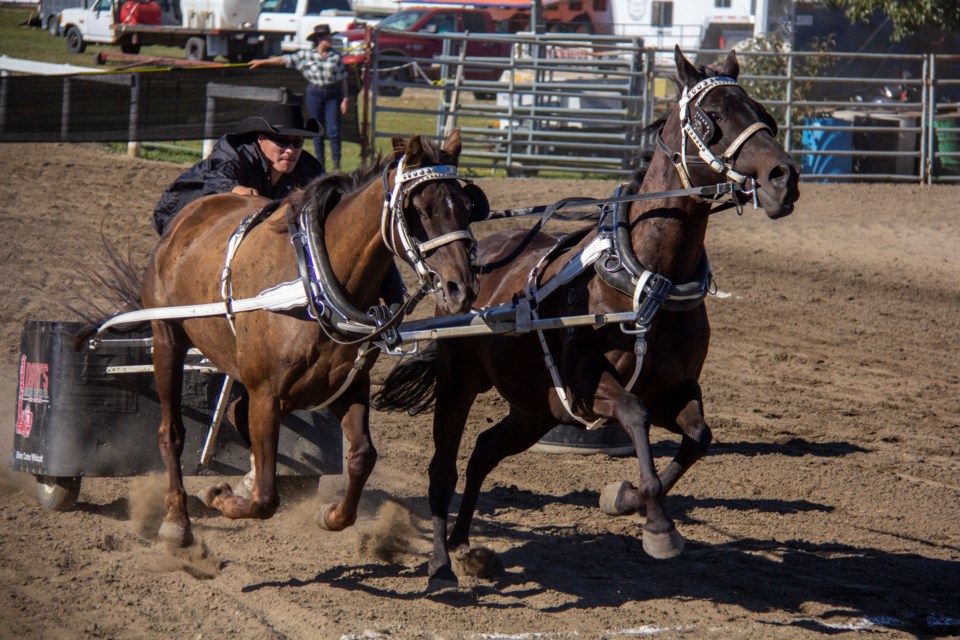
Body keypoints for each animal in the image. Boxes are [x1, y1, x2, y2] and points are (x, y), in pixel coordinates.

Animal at [140, 130, 484, 544]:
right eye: (419, 208)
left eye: (466, 204)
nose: (461, 288)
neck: (313, 282)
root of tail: (188, 217)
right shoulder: (266, 394)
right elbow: (265, 499)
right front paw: (219, 495)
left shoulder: (344, 385)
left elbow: (362, 456)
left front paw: (331, 514)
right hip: (167, 339)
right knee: (171, 432)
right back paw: (177, 518)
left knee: (236, 411)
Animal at [376, 47, 804, 592]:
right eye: (713, 117)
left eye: (763, 111)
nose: (783, 177)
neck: (648, 279)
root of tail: (469, 267)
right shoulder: (588, 383)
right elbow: (635, 416)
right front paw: (658, 525)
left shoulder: (675, 389)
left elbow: (699, 436)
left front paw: (625, 498)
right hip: (462, 383)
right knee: (443, 468)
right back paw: (442, 561)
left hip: (536, 409)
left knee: (485, 450)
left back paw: (463, 542)